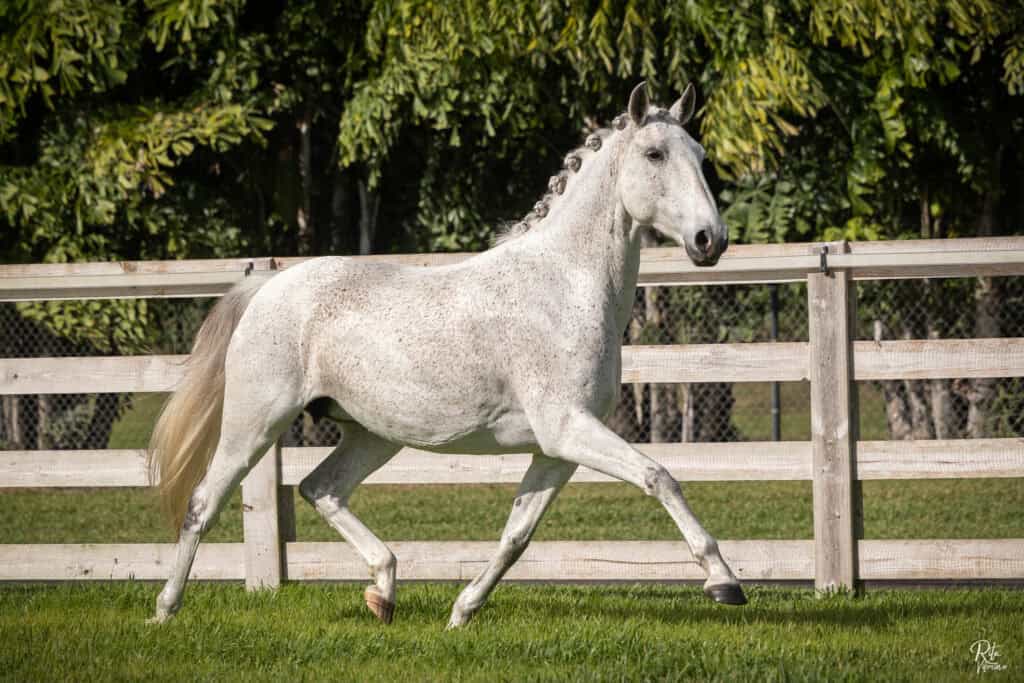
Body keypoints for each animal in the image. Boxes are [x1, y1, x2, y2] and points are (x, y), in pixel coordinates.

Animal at [147, 82, 745, 628]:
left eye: (700, 155)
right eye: (655, 154)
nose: (710, 240)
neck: (564, 286)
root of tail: (269, 286)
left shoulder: (557, 449)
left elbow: (517, 534)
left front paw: (462, 612)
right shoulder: (567, 429)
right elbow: (659, 477)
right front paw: (724, 583)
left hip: (371, 434)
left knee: (322, 489)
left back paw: (384, 591)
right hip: (255, 423)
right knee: (203, 503)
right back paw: (165, 610)